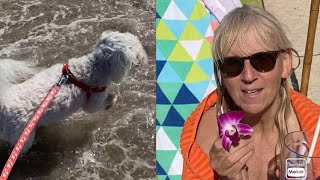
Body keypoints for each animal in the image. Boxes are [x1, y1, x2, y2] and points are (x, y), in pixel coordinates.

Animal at [0, 31, 148, 154]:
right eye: (138, 52)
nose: (146, 57)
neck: (94, 67)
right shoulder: (93, 101)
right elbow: (97, 105)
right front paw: (112, 99)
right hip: (20, 136)